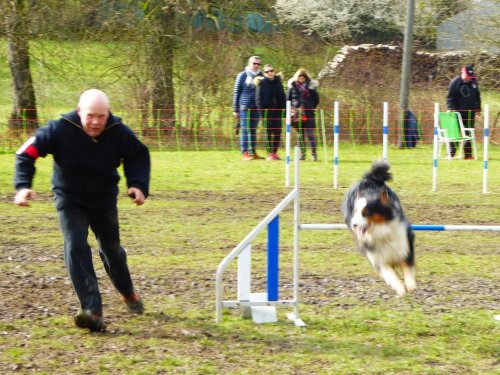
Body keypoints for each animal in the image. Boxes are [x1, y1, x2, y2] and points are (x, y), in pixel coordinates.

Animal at [342, 161, 416, 296]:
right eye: (355, 211)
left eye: (366, 212)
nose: (354, 224)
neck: (381, 232)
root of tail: (369, 179)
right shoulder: (378, 257)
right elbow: (390, 274)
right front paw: (400, 288)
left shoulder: (404, 244)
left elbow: (407, 265)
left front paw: (410, 284)